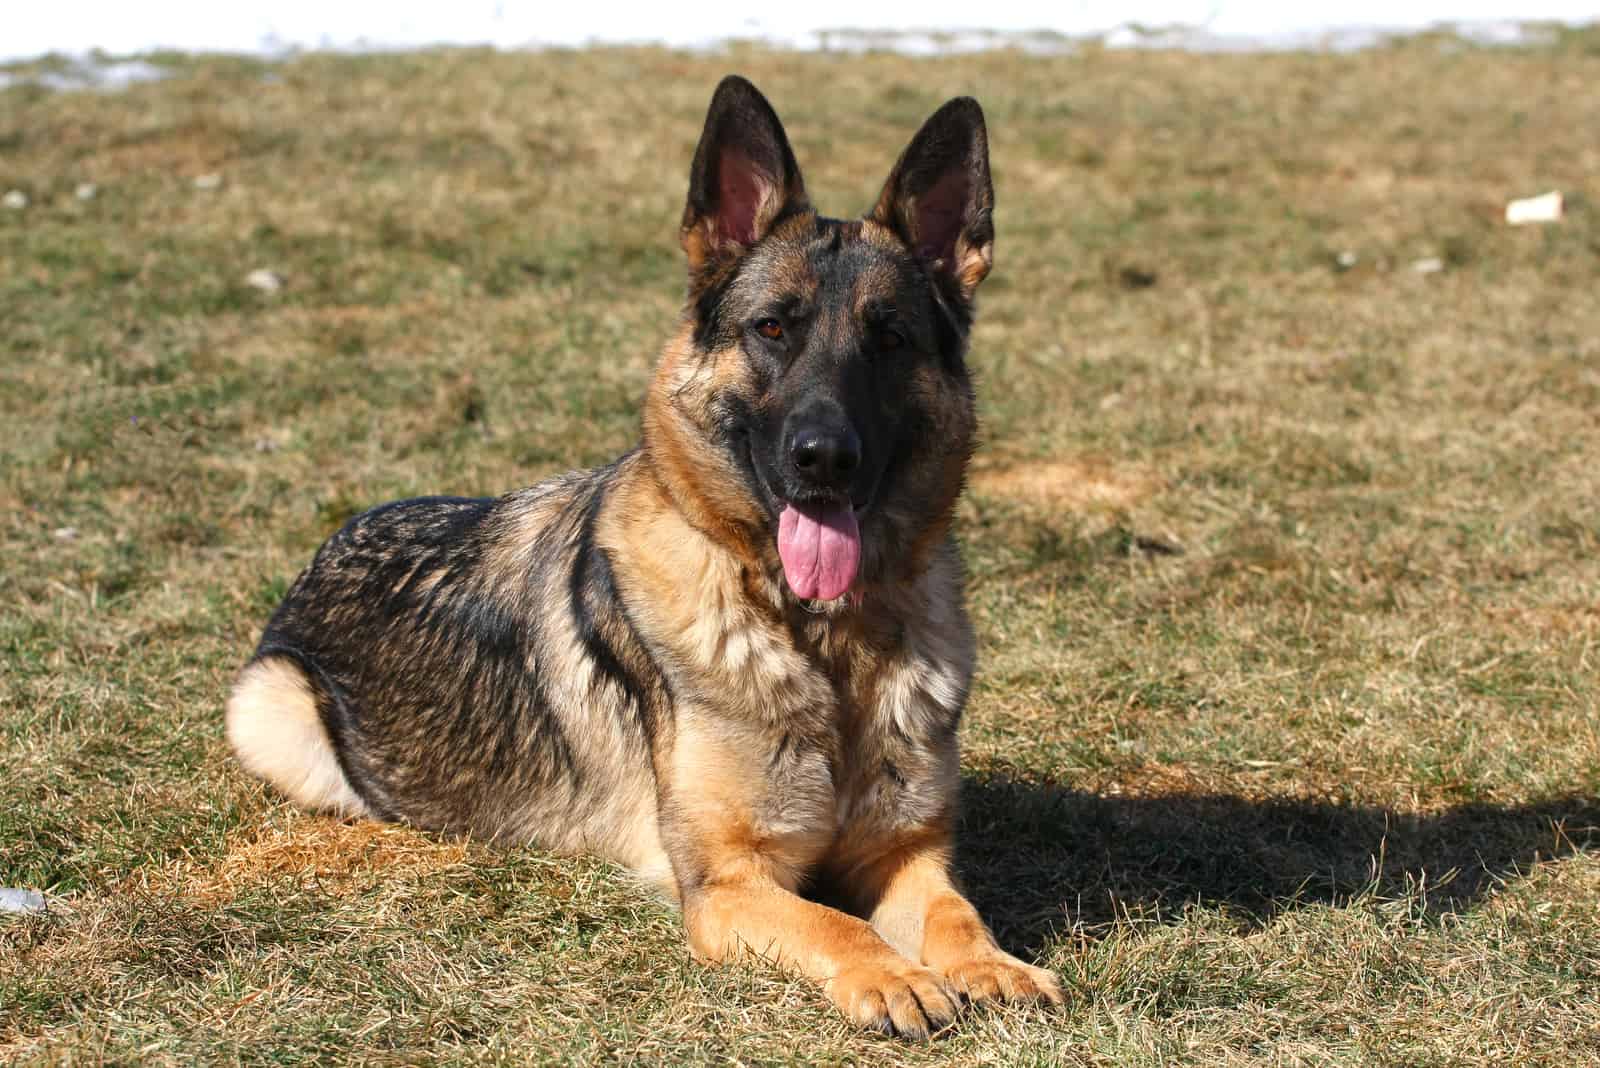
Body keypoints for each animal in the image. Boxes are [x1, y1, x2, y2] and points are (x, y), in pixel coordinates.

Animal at [225, 75, 1056, 1036]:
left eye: (889, 340)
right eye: (773, 329)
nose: (824, 458)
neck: (822, 637)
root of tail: (336, 538)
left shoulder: (906, 853)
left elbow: (956, 910)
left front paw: (990, 963)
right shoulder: (728, 882)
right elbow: (834, 924)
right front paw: (893, 974)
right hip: (271, 711)